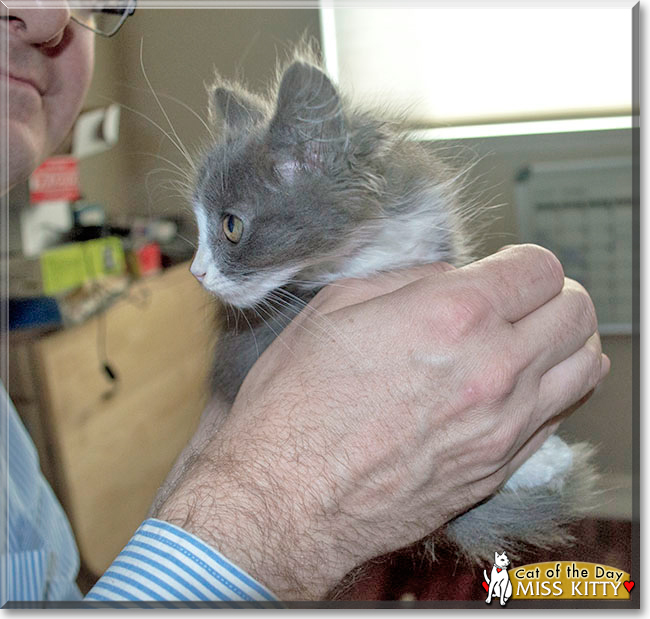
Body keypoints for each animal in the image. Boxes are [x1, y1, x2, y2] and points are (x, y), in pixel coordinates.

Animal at [185, 50, 596, 564]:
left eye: (231, 226)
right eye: (198, 226)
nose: (196, 272)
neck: (367, 252)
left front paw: (544, 456)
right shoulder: (251, 349)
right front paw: (535, 465)